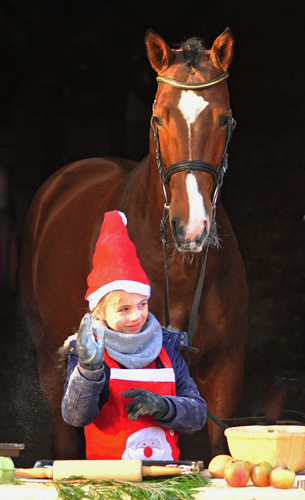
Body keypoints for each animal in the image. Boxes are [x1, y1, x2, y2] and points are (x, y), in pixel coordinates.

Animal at [19, 26, 247, 458]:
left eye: (224, 119)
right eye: (159, 117)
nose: (190, 228)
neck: (177, 267)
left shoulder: (226, 373)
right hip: (48, 365)